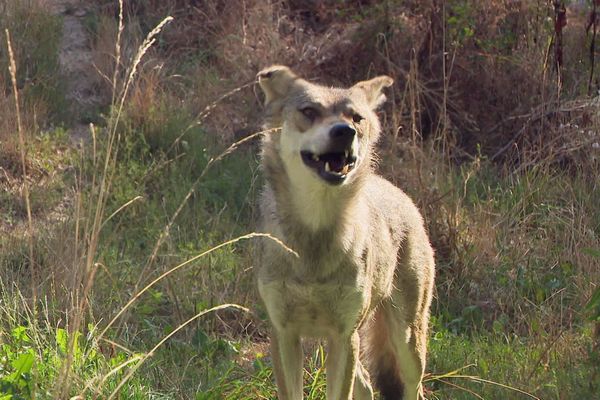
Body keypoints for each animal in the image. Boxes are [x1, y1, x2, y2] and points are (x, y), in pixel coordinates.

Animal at [255, 65, 434, 400]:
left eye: (356, 118)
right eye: (309, 111)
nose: (344, 132)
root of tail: (396, 190)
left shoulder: (343, 335)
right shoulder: (284, 335)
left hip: (407, 344)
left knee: (412, 389)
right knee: (365, 383)